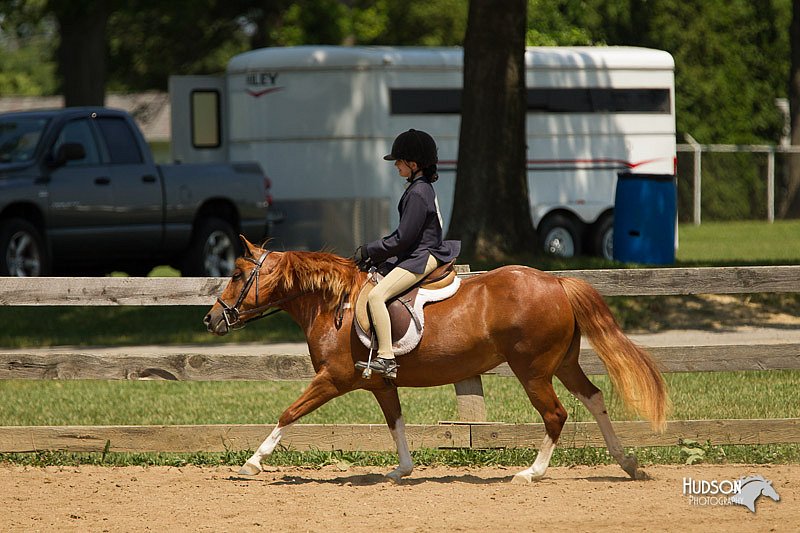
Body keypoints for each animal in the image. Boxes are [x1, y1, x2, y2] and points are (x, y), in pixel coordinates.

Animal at [203, 237, 664, 482]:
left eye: (239, 275)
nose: (211, 319)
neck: (334, 304)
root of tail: (557, 282)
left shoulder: (332, 379)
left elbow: (289, 413)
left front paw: (251, 462)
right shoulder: (379, 383)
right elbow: (396, 423)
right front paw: (402, 470)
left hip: (532, 371)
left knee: (556, 415)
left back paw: (531, 473)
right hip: (563, 365)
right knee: (594, 398)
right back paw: (628, 463)